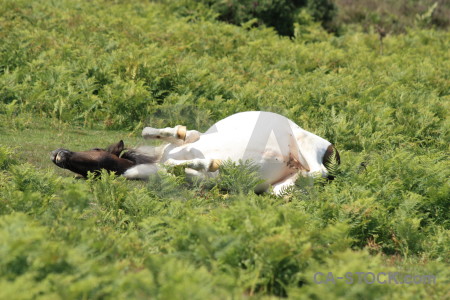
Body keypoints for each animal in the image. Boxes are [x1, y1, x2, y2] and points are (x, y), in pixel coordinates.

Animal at [51, 110, 340, 195]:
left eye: (96, 149)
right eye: (91, 174)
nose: (58, 154)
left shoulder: (193, 138)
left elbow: (175, 133)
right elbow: (179, 170)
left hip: (305, 142)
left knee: (318, 171)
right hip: (278, 189)